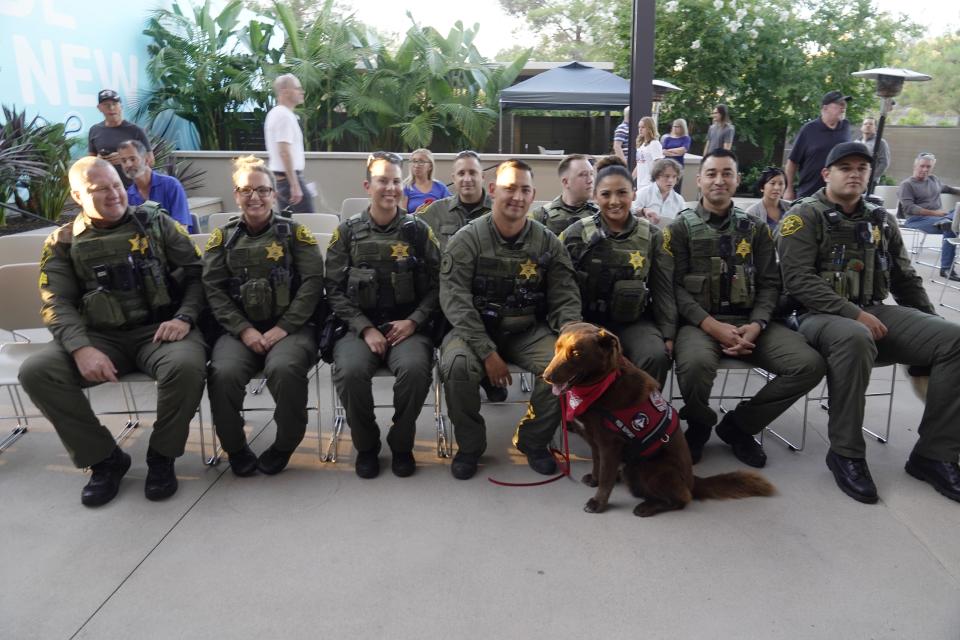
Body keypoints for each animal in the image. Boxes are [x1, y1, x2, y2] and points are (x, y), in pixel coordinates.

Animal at [544, 322, 776, 516]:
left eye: (576, 353)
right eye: (557, 347)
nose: (546, 377)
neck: (603, 385)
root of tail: (692, 481)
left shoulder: (609, 445)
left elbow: (606, 478)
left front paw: (598, 503)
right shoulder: (596, 443)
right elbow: (598, 466)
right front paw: (594, 479)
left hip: (648, 468)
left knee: (682, 498)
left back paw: (647, 507)